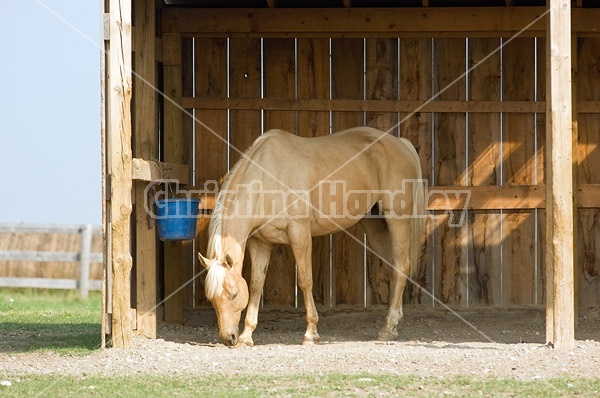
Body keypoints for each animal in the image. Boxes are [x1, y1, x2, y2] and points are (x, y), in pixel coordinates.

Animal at [199, 126, 424, 346]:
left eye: (233, 294)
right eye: (212, 299)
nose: (228, 338)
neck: (268, 177)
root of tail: (402, 143)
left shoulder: (300, 234)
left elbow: (305, 280)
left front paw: (311, 333)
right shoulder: (260, 243)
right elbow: (256, 284)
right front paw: (247, 336)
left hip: (396, 220)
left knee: (402, 266)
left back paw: (387, 328)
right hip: (374, 225)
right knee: (393, 266)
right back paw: (394, 323)